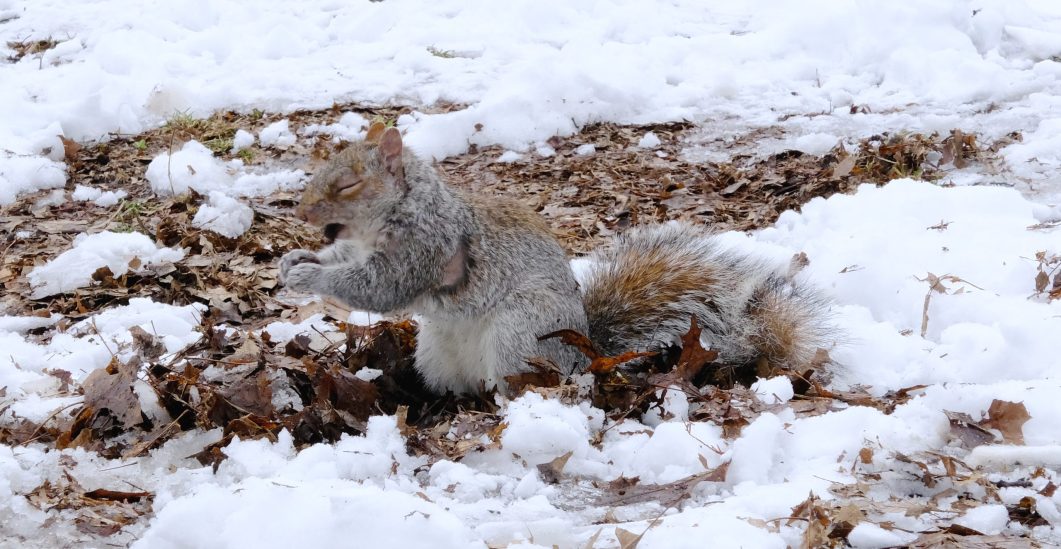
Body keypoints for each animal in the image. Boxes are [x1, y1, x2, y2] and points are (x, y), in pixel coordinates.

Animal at [280, 122, 831, 394]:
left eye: (347, 184)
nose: (301, 211)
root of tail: (588, 356)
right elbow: (342, 255)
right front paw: (298, 259)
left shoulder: (425, 247)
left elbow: (377, 287)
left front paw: (310, 277)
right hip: (436, 353)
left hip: (521, 333)